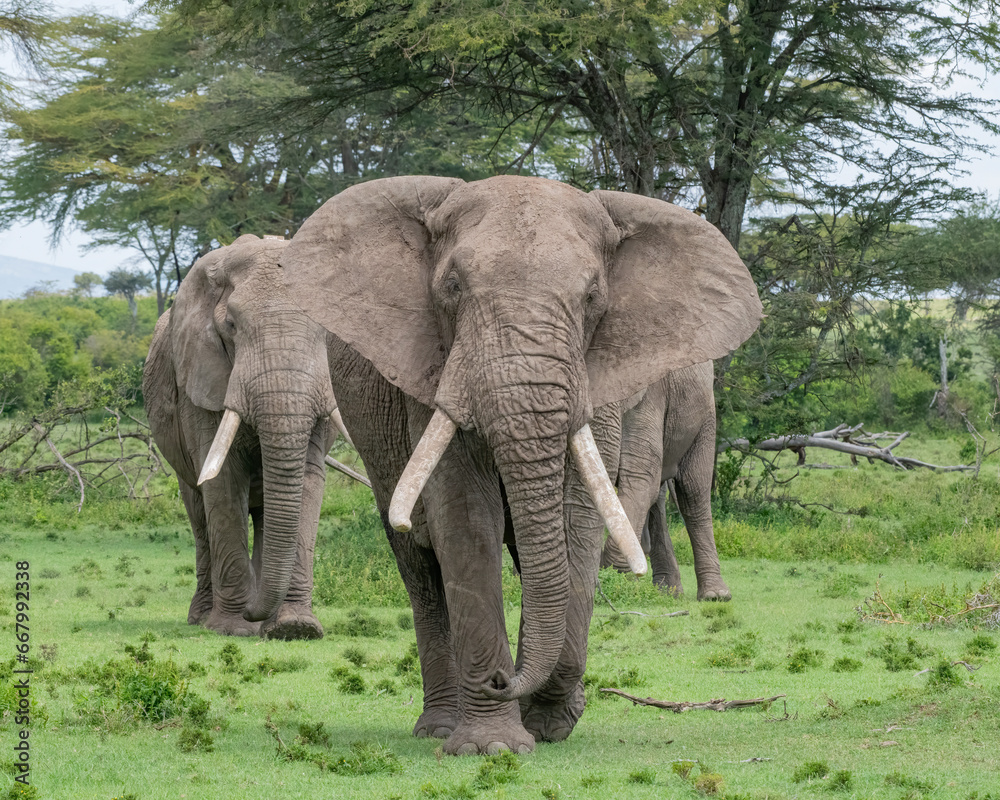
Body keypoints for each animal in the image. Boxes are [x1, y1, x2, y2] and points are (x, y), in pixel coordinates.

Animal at [143, 234, 342, 640]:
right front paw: (234, 628)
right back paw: (202, 617)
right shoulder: (201, 380)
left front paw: (296, 627)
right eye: (231, 326)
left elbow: (309, 480)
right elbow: (222, 482)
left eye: (328, 331)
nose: (253, 614)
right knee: (198, 512)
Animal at [596, 360, 732, 600]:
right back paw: (668, 593)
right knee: (657, 500)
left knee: (692, 492)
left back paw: (714, 595)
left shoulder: (650, 392)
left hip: (705, 412)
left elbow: (640, 477)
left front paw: (612, 579)